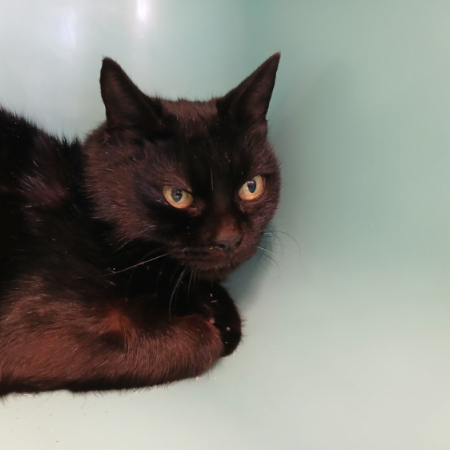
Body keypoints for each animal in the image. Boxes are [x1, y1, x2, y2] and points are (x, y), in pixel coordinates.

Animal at [0, 53, 281, 396]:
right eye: (177, 195)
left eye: (251, 186)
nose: (229, 239)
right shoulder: (32, 330)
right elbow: (203, 340)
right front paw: (209, 325)